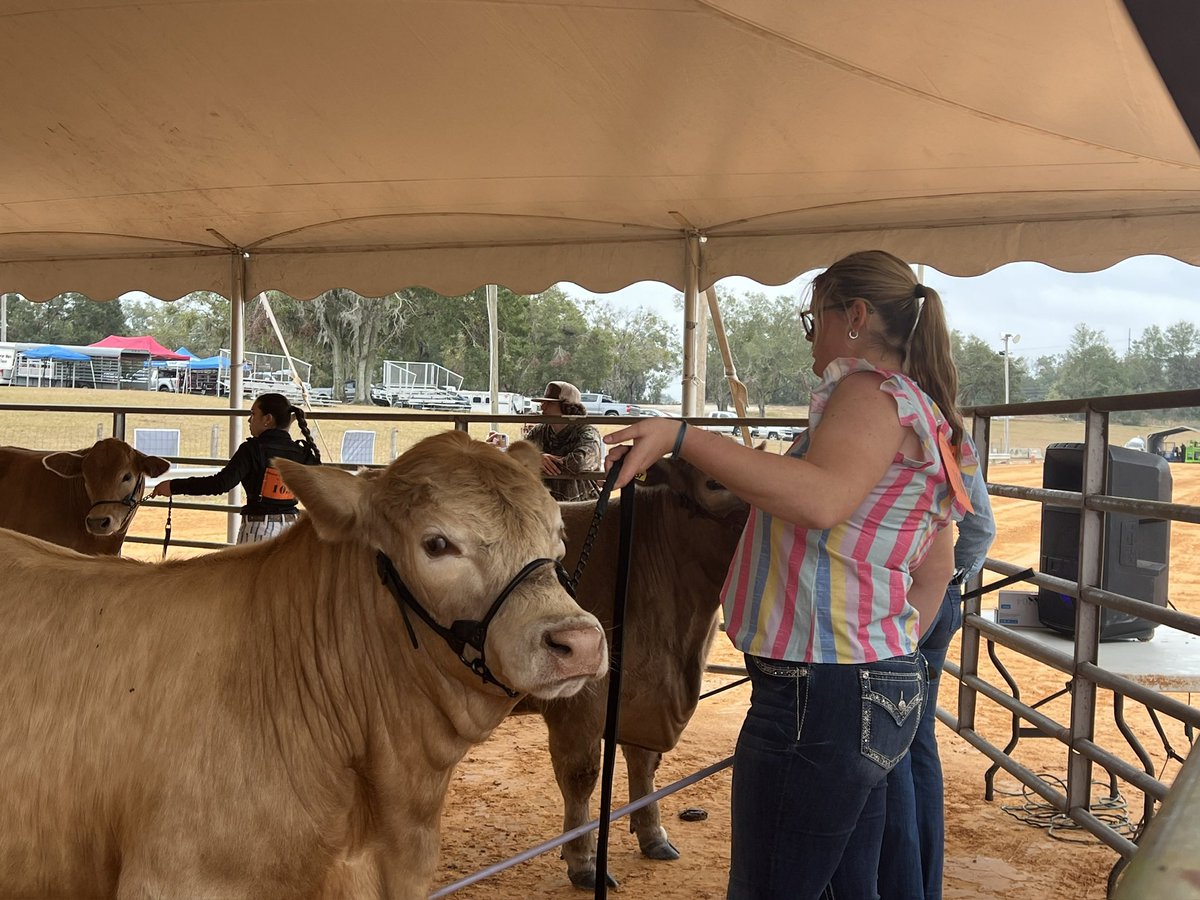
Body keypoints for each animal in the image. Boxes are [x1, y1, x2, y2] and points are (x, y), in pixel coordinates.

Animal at [515, 456, 750, 888]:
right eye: (714, 483)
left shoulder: (642, 694)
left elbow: (644, 763)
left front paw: (653, 836)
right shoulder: (579, 702)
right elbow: (581, 775)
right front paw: (584, 862)